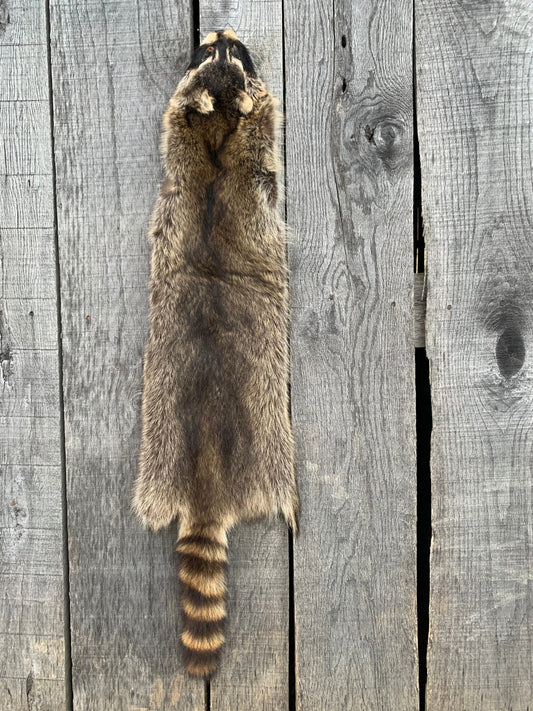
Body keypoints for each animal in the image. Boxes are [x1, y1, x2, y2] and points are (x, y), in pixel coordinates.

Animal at [133, 29, 299, 678]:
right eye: (209, 54)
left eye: (232, 53)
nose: (223, 32)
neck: (221, 127)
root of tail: (204, 483)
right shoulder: (202, 139)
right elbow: (211, 116)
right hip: (267, 445)